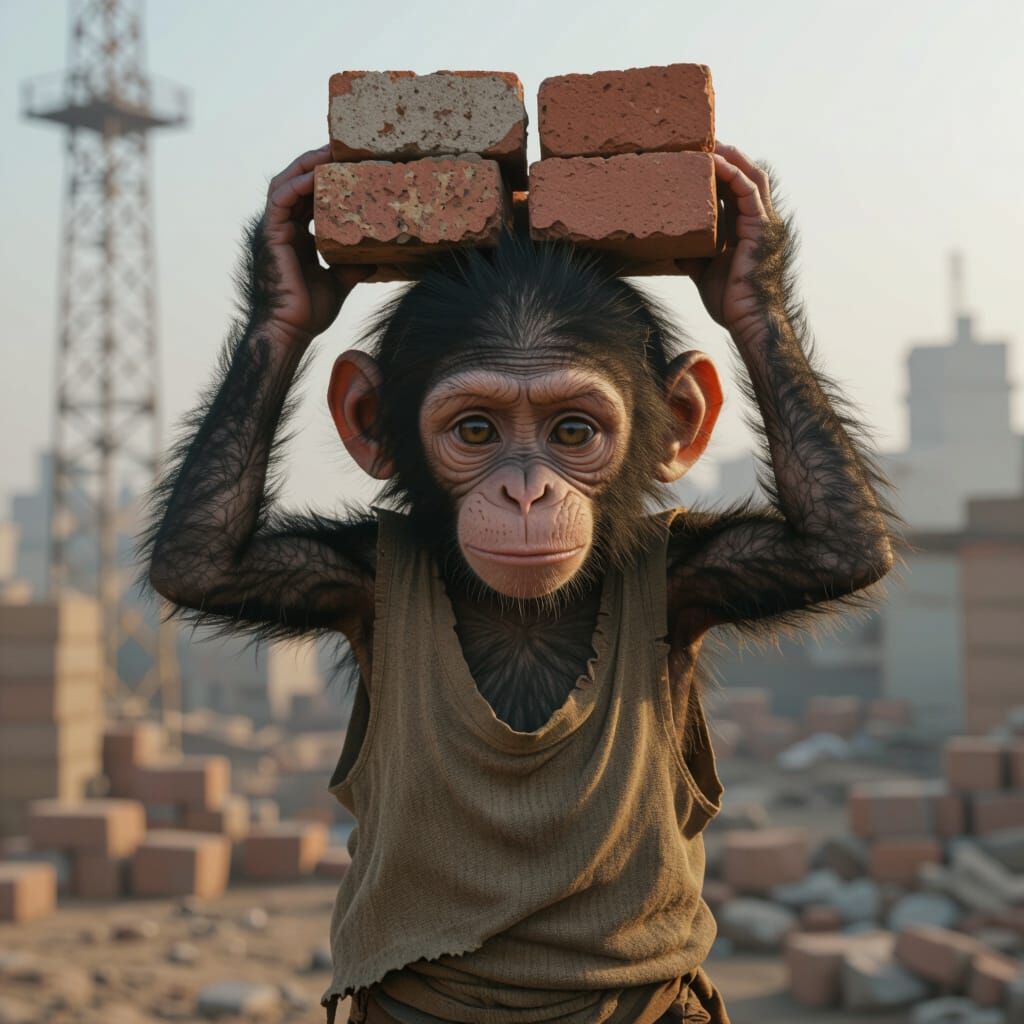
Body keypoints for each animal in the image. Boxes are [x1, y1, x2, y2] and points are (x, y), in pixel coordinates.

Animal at [144, 140, 897, 1024]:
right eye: (476, 430)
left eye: (572, 432)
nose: (526, 492)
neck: (524, 615)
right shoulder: (348, 574)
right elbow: (204, 560)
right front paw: (285, 271)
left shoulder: (696, 572)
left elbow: (834, 547)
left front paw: (750, 259)